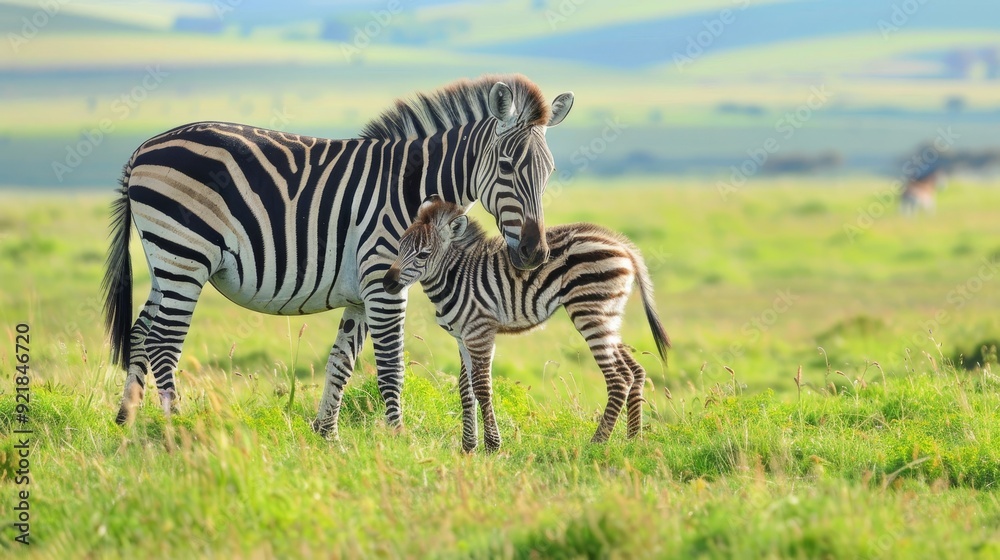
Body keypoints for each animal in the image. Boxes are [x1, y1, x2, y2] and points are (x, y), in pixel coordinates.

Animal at [102, 74, 575, 438]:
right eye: (507, 167)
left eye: (550, 171)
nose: (535, 252)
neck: (413, 188)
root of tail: (142, 150)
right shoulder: (385, 282)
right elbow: (390, 365)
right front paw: (398, 440)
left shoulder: (362, 294)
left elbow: (341, 363)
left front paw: (326, 437)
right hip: (185, 256)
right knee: (164, 341)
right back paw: (176, 427)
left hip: (165, 261)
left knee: (141, 332)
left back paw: (127, 423)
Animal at [382, 197, 671, 451]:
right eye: (399, 247)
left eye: (423, 255)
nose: (388, 283)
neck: (456, 276)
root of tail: (621, 244)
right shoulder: (462, 337)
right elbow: (466, 390)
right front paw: (468, 447)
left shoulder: (480, 331)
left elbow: (482, 388)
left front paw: (492, 446)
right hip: (608, 315)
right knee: (634, 372)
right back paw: (632, 439)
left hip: (590, 313)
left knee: (618, 379)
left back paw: (597, 443)